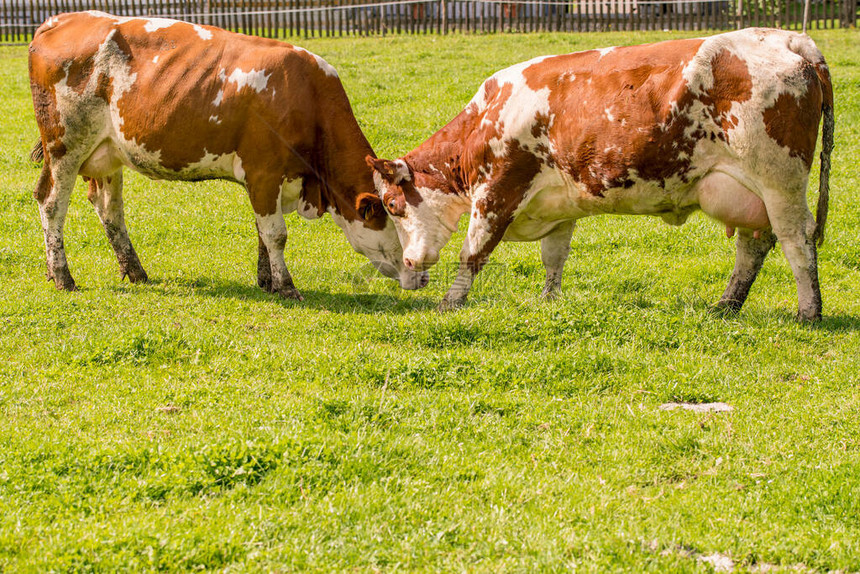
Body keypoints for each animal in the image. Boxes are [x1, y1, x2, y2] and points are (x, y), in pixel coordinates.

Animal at [31, 11, 430, 300]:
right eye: (398, 218)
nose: (424, 276)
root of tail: (60, 19)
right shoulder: (264, 171)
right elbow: (276, 234)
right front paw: (287, 287)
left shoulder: (267, 180)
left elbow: (262, 232)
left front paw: (267, 281)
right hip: (65, 145)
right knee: (51, 203)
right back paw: (63, 276)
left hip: (108, 153)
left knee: (109, 209)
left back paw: (134, 271)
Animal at [368, 28, 832, 320]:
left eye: (392, 204)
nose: (407, 262)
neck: (487, 117)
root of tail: (789, 37)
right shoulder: (557, 207)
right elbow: (554, 257)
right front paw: (549, 300)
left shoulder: (498, 190)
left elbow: (473, 253)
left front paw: (450, 302)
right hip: (748, 193)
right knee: (754, 246)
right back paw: (726, 305)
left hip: (779, 180)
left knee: (797, 240)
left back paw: (808, 312)